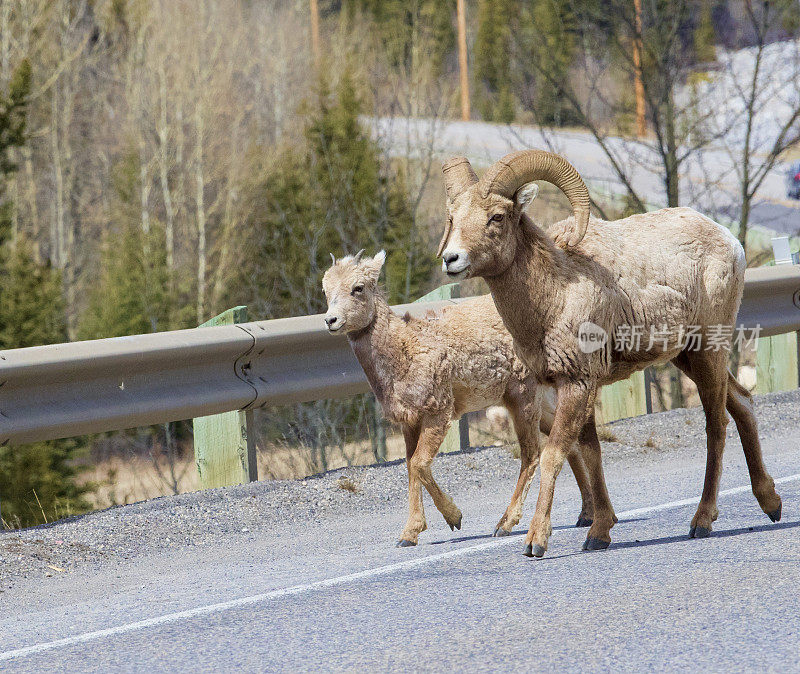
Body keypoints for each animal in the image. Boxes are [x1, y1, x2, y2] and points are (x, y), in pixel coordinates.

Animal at [320, 249, 592, 548]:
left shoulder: (438, 411)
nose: (331, 320)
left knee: (532, 453)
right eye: (325, 290)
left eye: (358, 288)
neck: (403, 352)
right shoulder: (408, 421)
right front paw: (408, 535)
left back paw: (505, 524)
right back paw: (586, 515)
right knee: (568, 441)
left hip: (523, 396)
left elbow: (420, 464)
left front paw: (454, 518)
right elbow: (410, 467)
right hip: (540, 401)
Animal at [438, 151, 780, 556]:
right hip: (688, 357)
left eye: (497, 216)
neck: (554, 295)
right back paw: (771, 504)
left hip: (709, 350)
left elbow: (554, 454)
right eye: (453, 218)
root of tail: (731, 242)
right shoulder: (576, 387)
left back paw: (702, 521)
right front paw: (599, 533)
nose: (451, 259)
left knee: (717, 426)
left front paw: (536, 542)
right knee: (742, 403)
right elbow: (591, 452)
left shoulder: (578, 384)